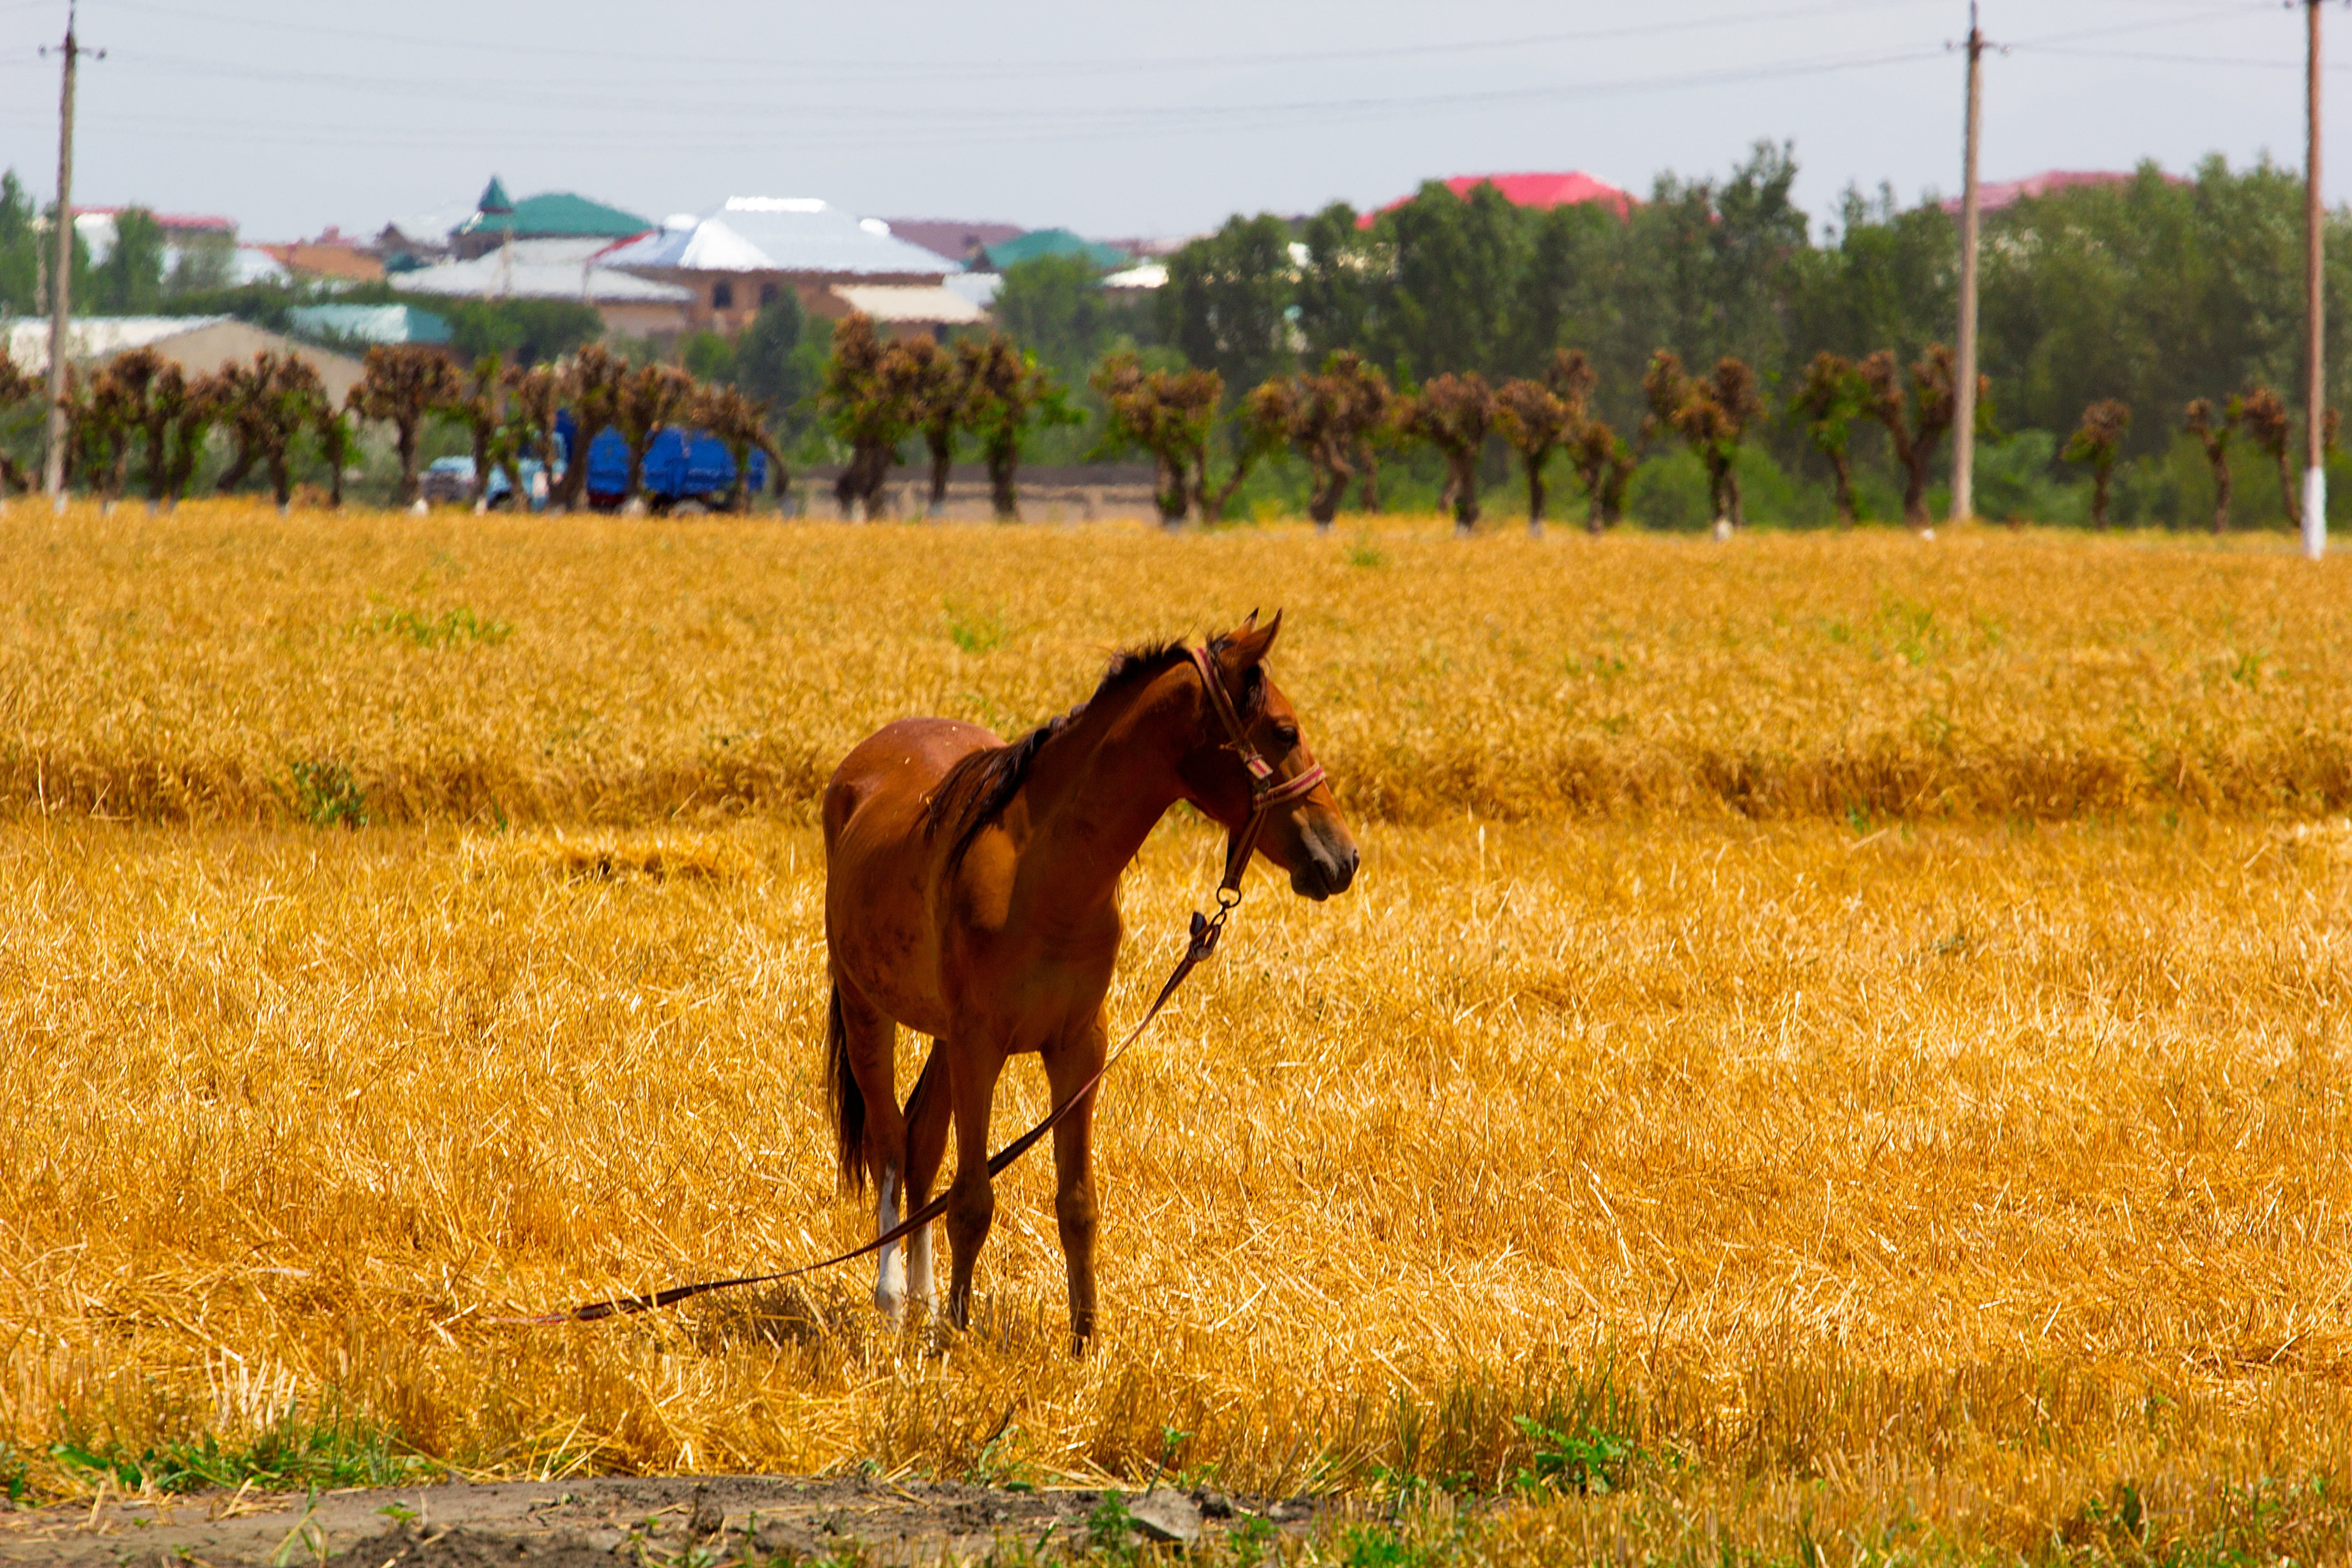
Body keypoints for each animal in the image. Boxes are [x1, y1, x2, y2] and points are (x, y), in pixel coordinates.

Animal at [819, 612, 1358, 1348]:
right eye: (1283, 730)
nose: (1343, 858)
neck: (1043, 874)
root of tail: (858, 770)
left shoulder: (1079, 1047)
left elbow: (1077, 1202)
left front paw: (1083, 1341)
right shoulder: (981, 1045)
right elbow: (973, 1199)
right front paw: (959, 1333)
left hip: (941, 1037)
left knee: (922, 1144)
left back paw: (925, 1306)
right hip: (868, 1010)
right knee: (890, 1145)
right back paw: (895, 1301)